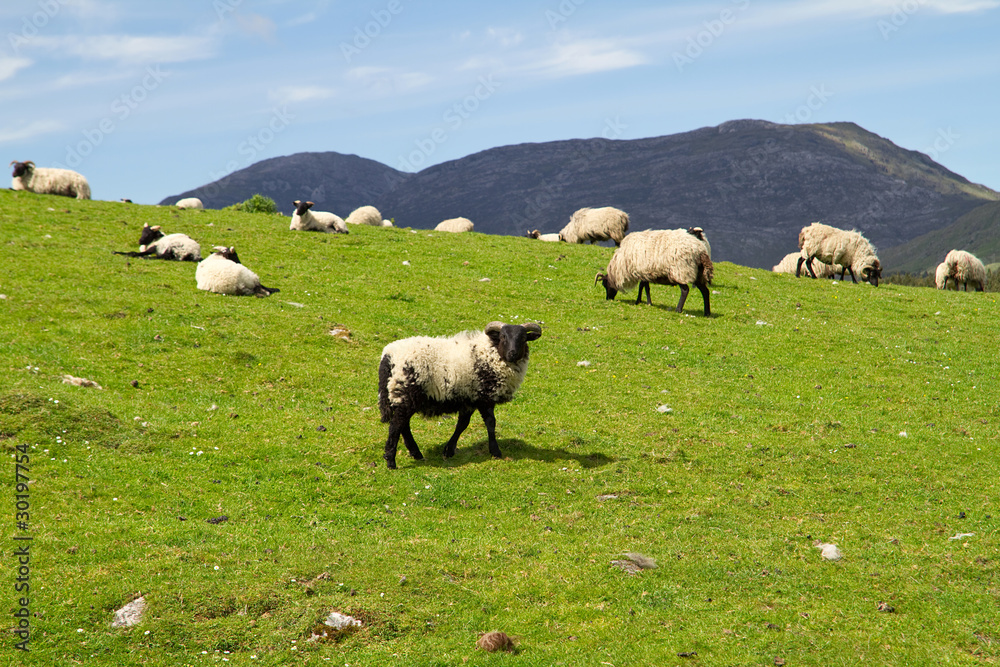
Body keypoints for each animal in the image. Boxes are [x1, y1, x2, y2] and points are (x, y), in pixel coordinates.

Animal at [378, 322, 544, 470]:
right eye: (503, 337)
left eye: (523, 338)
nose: (512, 353)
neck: (491, 352)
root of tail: (388, 356)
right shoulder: (484, 398)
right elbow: (490, 423)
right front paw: (495, 451)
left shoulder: (469, 398)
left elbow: (462, 424)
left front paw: (449, 450)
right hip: (405, 392)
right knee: (396, 425)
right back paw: (391, 461)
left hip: (402, 395)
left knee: (403, 425)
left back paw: (416, 453)